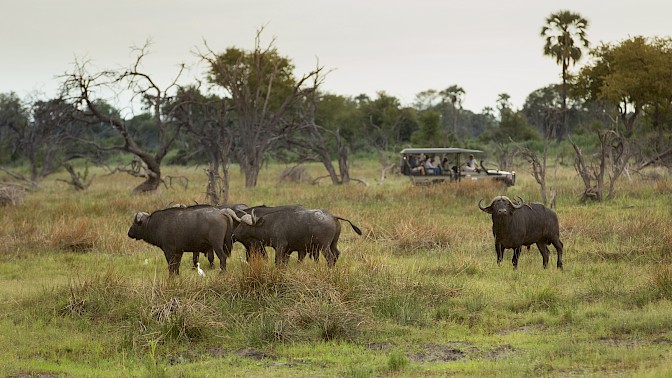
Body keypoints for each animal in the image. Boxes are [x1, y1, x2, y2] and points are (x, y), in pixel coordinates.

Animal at [228, 207, 362, 266]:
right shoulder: (288, 250)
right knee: (336, 254)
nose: (234, 234)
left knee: (330, 257)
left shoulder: (280, 247)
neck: (270, 224)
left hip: (324, 246)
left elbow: (277, 261)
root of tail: (332, 216)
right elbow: (284, 263)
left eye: (244, 224)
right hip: (333, 243)